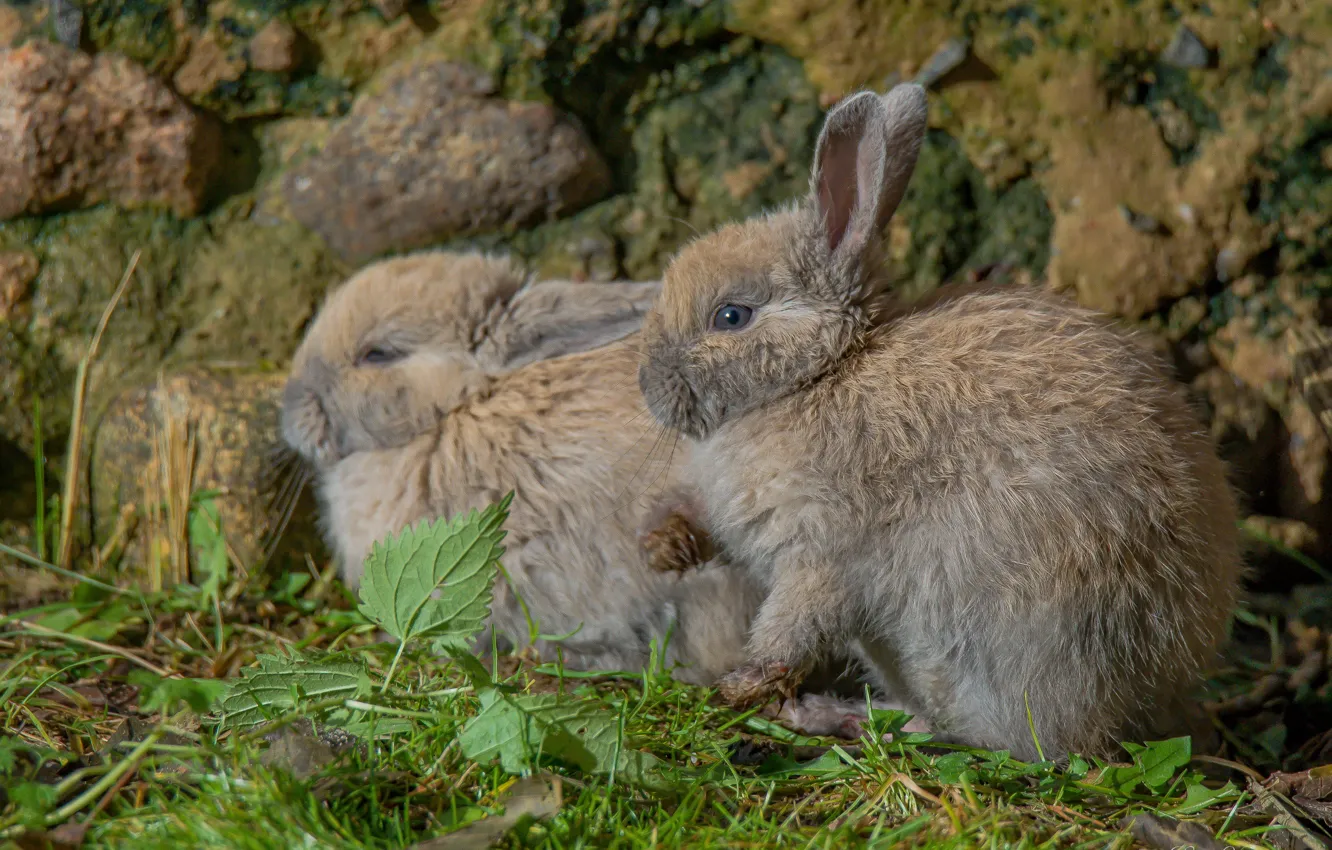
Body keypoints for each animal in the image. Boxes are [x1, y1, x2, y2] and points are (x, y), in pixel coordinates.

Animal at [635, 82, 1244, 761]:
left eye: (731, 316)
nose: (647, 383)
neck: (824, 371)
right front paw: (662, 547)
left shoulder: (824, 552)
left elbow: (793, 627)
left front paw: (739, 687)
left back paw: (834, 716)